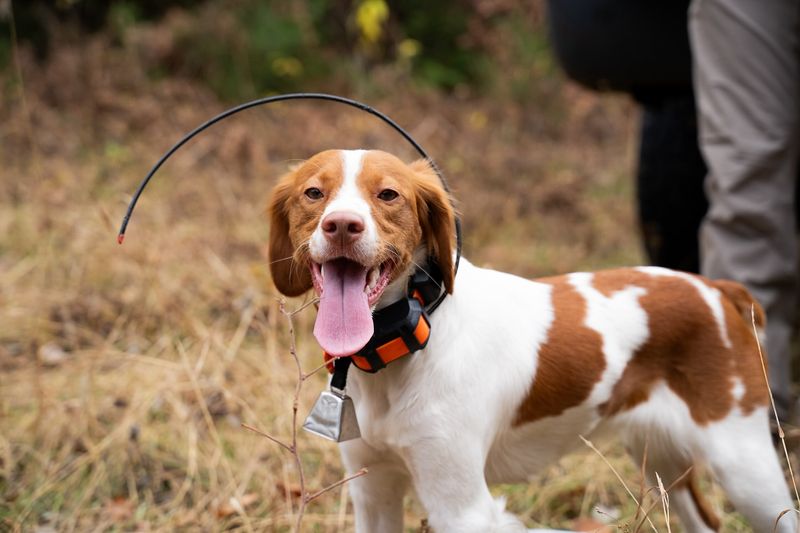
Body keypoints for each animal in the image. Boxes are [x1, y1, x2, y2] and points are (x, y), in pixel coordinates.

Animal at [268, 150, 792, 532]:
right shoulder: (373, 491)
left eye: (389, 194)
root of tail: (717, 289)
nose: (342, 225)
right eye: (313, 192)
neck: (408, 340)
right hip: (663, 460)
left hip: (745, 467)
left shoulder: (462, 506)